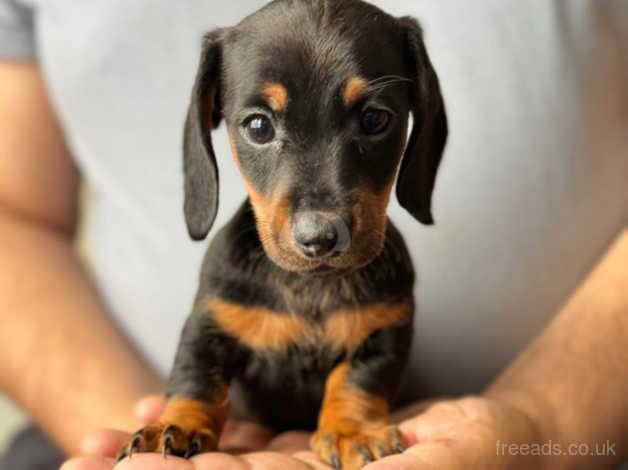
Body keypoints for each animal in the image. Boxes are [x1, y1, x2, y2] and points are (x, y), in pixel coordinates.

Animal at [119, 0, 446, 470]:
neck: (308, 287)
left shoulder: (384, 333)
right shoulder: (208, 325)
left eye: (375, 119)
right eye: (258, 127)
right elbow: (196, 378)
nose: (321, 237)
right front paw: (176, 424)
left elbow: (358, 382)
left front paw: (351, 430)